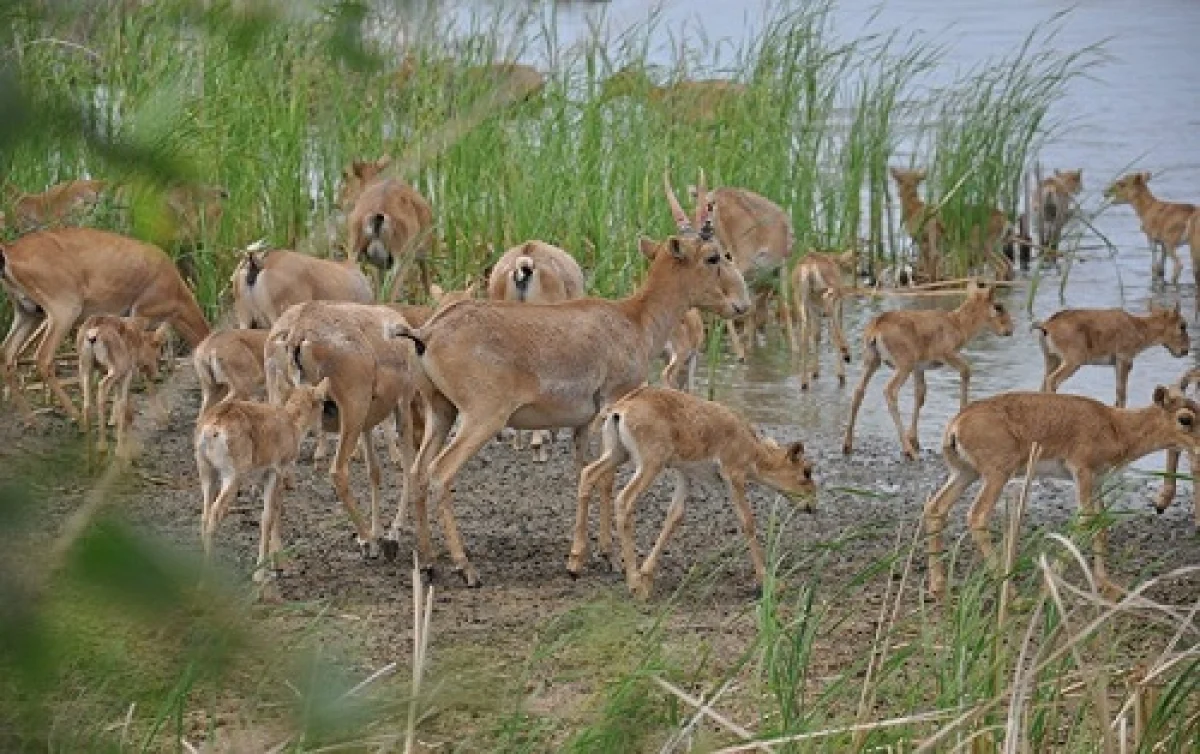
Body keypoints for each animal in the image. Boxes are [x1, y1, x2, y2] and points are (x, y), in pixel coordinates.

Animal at [386, 168, 748, 585]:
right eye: (714, 255)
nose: (742, 303)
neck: (633, 320)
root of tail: (427, 333)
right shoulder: (613, 403)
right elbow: (606, 478)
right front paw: (604, 557)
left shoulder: (583, 422)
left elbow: (583, 472)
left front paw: (585, 552)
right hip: (482, 416)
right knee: (440, 473)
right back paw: (466, 567)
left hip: (440, 410)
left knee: (416, 471)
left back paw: (428, 561)